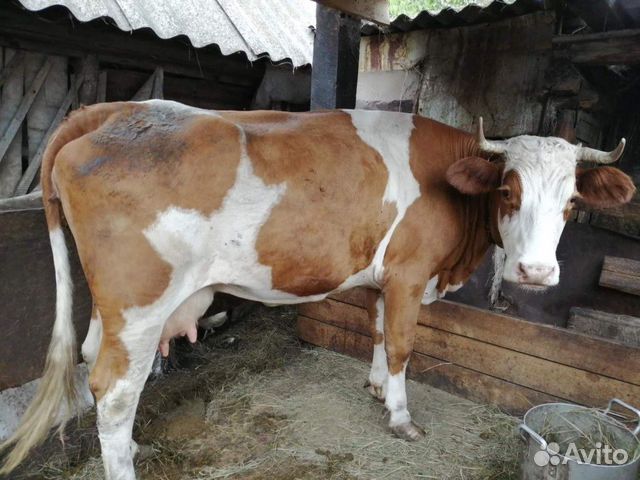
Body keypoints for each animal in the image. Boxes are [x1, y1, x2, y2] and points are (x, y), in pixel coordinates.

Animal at [0, 99, 632, 478]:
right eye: (507, 190)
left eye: (572, 201)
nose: (536, 272)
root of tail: (113, 110)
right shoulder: (409, 272)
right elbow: (403, 344)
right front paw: (401, 417)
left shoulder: (385, 278)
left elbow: (377, 332)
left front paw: (377, 389)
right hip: (140, 304)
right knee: (114, 389)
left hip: (116, 309)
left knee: (91, 361)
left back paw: (131, 447)